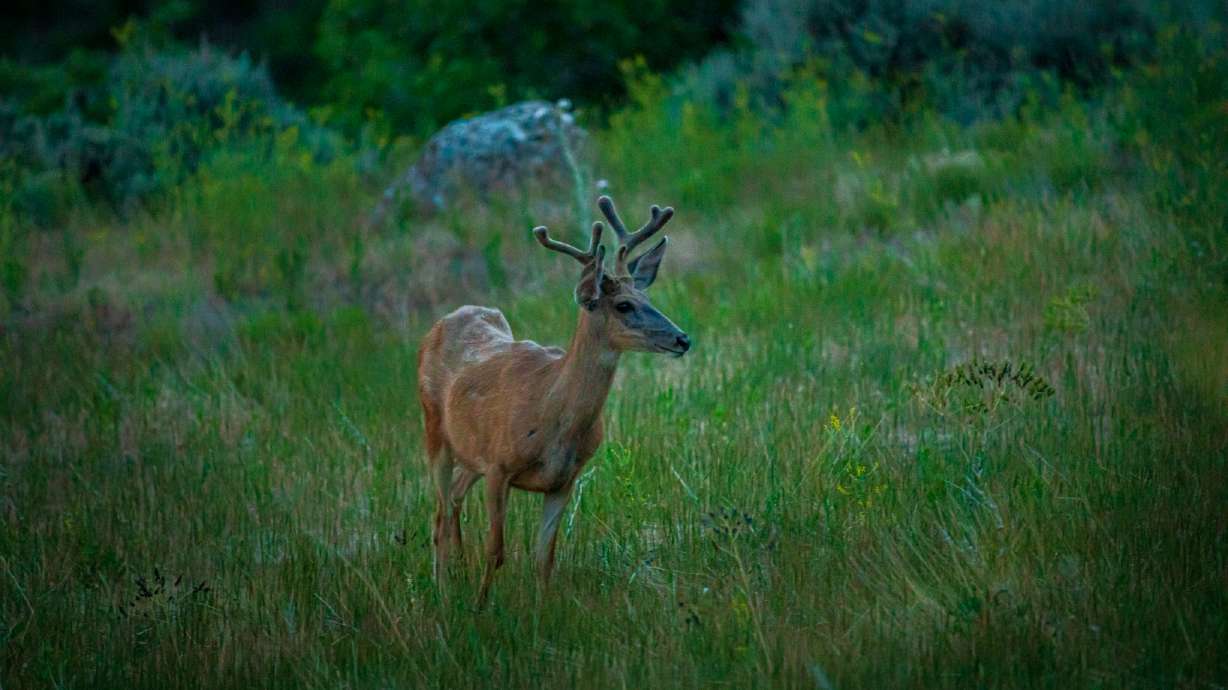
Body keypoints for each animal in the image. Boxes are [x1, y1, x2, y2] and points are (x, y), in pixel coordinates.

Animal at [416, 195, 691, 604]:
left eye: (647, 296)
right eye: (624, 305)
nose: (682, 338)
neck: (552, 416)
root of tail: (446, 319)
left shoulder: (564, 480)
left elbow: (544, 558)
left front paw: (541, 611)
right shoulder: (498, 466)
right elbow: (496, 551)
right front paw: (480, 608)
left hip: (470, 450)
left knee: (454, 498)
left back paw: (459, 570)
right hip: (434, 429)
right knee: (437, 516)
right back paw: (443, 589)